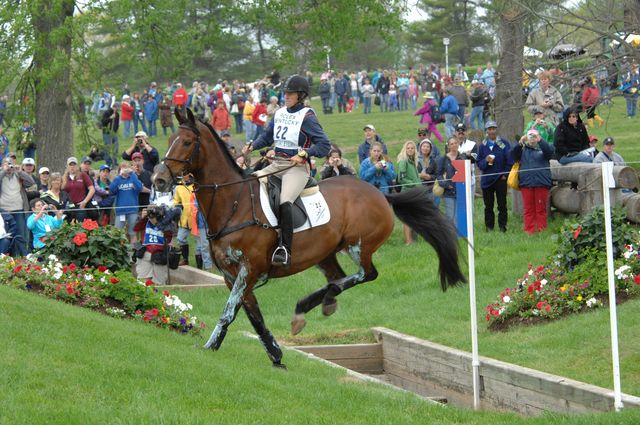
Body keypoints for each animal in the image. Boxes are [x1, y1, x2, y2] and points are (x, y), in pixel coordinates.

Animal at [154, 109, 464, 368]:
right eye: (169, 138)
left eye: (186, 142)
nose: (159, 180)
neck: (233, 201)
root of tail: (379, 193)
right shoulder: (233, 274)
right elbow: (253, 315)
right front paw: (276, 354)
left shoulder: (249, 269)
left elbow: (230, 311)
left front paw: (210, 346)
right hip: (325, 253)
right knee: (339, 277)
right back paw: (322, 302)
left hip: (358, 245)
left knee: (366, 274)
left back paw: (309, 303)